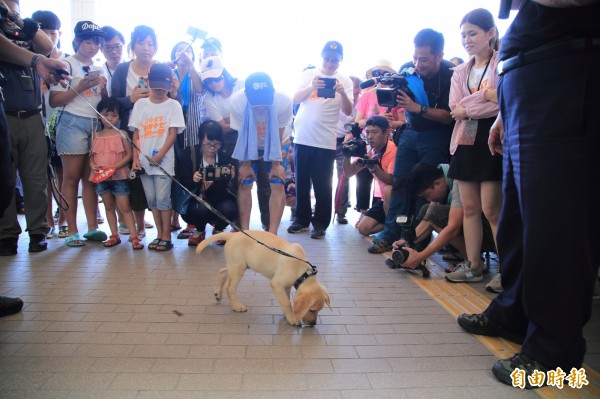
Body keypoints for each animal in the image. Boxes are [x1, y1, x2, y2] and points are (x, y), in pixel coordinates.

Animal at [196, 230, 328, 326]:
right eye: (312, 310)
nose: (313, 324)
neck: (302, 271)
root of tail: (233, 234)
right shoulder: (276, 283)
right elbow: (286, 301)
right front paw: (292, 318)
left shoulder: (286, 286)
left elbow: (286, 299)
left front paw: (288, 314)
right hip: (238, 268)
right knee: (230, 287)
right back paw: (236, 306)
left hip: (238, 265)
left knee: (222, 272)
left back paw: (218, 294)